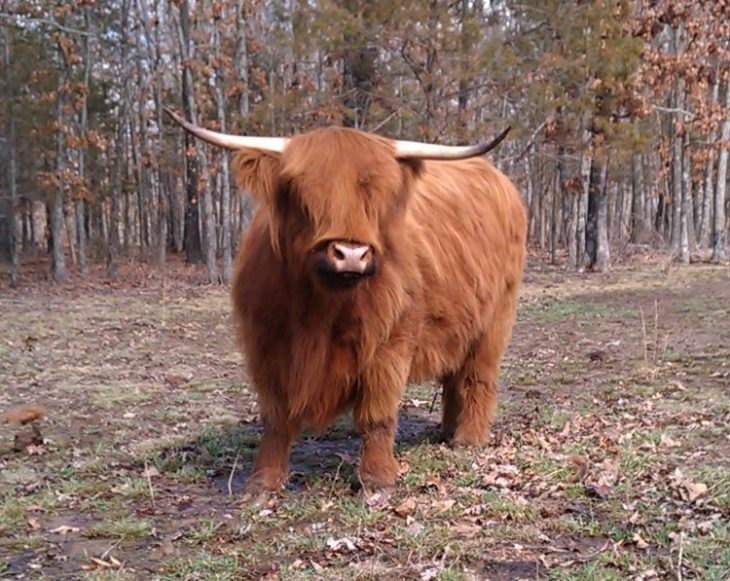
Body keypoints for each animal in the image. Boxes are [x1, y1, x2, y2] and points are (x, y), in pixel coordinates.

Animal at [165, 108, 527, 496]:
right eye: (301, 190)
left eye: (377, 194)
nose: (351, 253)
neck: (319, 311)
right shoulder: (267, 346)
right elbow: (276, 418)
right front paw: (263, 481)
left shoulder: (390, 345)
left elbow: (377, 415)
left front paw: (378, 479)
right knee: (454, 378)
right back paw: (445, 431)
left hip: (496, 319)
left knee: (477, 377)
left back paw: (467, 440)